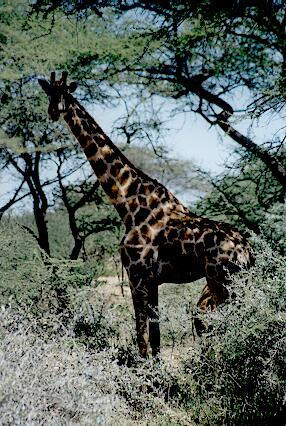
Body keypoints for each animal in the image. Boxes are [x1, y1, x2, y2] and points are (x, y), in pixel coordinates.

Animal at [38, 72, 255, 356]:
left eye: (65, 93)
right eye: (49, 93)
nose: (54, 111)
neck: (127, 204)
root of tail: (248, 250)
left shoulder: (136, 276)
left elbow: (141, 339)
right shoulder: (152, 282)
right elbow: (156, 339)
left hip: (225, 281)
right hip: (231, 283)